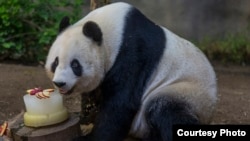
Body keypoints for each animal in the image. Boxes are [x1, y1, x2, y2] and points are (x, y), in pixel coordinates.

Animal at [45, 2, 217, 141]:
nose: (59, 83)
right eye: (55, 62)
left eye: (75, 65)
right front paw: (85, 117)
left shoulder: (132, 54)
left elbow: (121, 103)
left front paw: (90, 137)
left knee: (164, 111)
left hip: (185, 92)